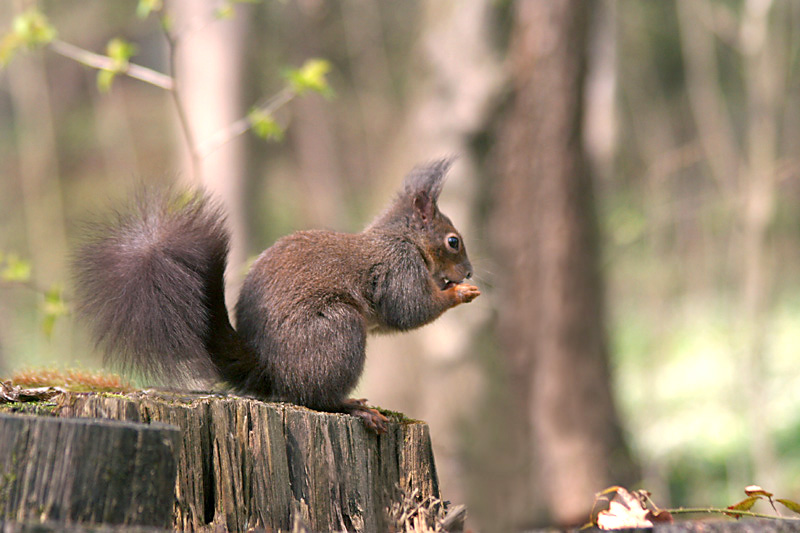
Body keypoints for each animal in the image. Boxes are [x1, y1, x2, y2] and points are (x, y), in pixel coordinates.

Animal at [72, 156, 478, 430]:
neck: (402, 238)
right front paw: (459, 293)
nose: (470, 272)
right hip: (338, 331)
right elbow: (410, 309)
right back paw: (352, 406)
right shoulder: (398, 268)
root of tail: (266, 367)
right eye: (453, 241)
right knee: (314, 398)